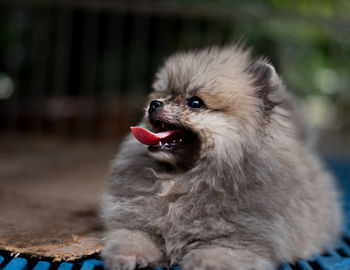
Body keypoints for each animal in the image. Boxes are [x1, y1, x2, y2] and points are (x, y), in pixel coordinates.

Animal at [100, 44, 342, 270]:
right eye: (163, 95)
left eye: (195, 102)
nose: (154, 104)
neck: (183, 178)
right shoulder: (141, 223)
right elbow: (132, 237)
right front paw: (127, 257)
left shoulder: (237, 240)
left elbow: (214, 255)